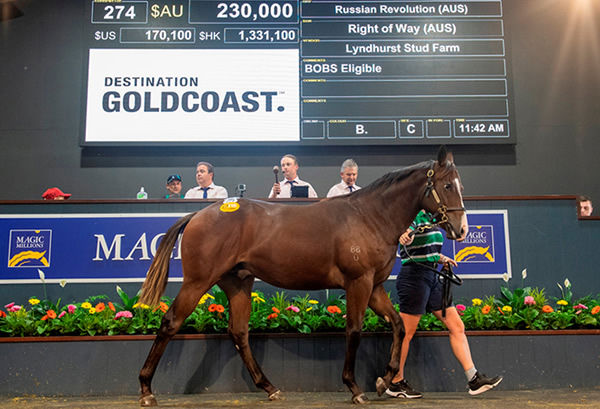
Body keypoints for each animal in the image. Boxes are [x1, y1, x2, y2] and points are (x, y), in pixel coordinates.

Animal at [137, 147, 468, 404]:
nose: (461, 229)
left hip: (238, 283)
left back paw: (269, 387)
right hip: (197, 282)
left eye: (459, 185)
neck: (368, 216)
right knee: (170, 323)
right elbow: (354, 330)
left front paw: (384, 381)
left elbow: (398, 325)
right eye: (447, 186)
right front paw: (355, 387)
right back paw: (146, 389)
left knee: (239, 332)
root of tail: (199, 214)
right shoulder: (358, 283)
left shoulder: (374, 287)